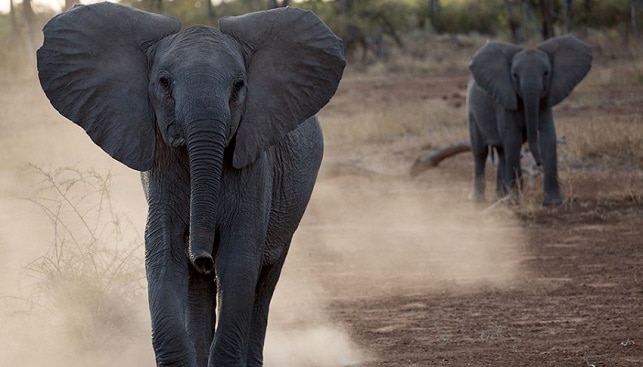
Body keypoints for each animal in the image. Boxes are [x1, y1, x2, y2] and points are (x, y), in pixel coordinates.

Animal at [36, 2, 348, 366]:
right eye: (164, 83)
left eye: (239, 85)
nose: (201, 257)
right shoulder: (162, 168)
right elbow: (163, 253)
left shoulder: (256, 166)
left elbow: (239, 259)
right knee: (200, 291)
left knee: (264, 283)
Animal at [466, 33, 592, 207]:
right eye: (514, 76)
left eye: (546, 73)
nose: (538, 164)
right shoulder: (505, 99)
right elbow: (513, 138)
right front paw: (515, 200)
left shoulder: (544, 101)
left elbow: (548, 137)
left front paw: (553, 202)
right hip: (472, 114)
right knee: (480, 152)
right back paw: (478, 200)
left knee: (502, 152)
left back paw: (500, 197)